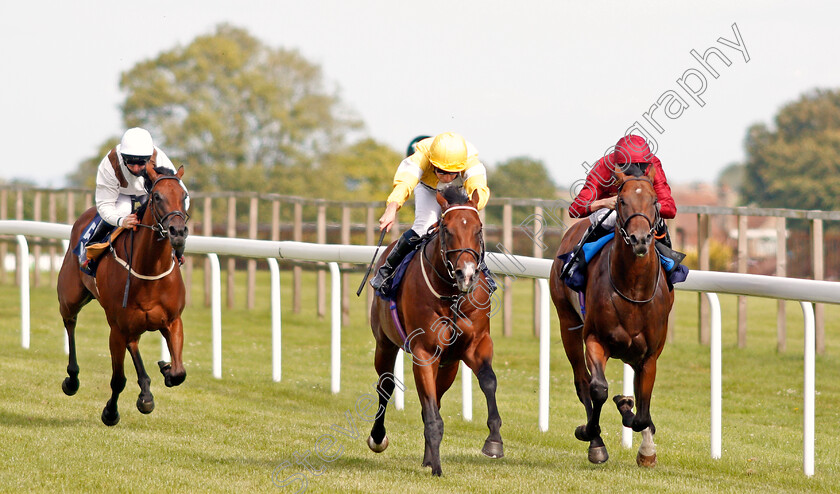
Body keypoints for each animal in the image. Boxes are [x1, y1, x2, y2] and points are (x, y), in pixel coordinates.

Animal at [57, 162, 190, 424]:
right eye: (157, 196)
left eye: (184, 196)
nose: (178, 232)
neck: (149, 270)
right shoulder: (116, 329)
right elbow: (118, 380)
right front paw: (110, 412)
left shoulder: (173, 321)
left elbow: (179, 372)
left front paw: (166, 370)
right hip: (70, 297)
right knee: (70, 322)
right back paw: (72, 378)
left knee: (134, 343)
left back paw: (146, 390)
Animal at [366, 185, 498, 474]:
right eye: (447, 229)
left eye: (479, 228)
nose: (466, 274)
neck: (453, 295)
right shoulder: (424, 352)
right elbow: (429, 412)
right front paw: (436, 466)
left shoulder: (476, 345)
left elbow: (488, 381)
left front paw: (494, 441)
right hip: (384, 343)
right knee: (386, 386)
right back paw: (378, 438)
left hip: (449, 364)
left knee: (435, 397)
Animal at [548, 165, 672, 466]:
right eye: (622, 201)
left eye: (654, 201)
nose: (640, 240)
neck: (633, 288)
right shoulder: (595, 339)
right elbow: (598, 389)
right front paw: (590, 432)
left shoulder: (650, 355)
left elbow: (642, 412)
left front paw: (646, 448)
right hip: (567, 323)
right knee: (582, 381)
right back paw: (595, 442)